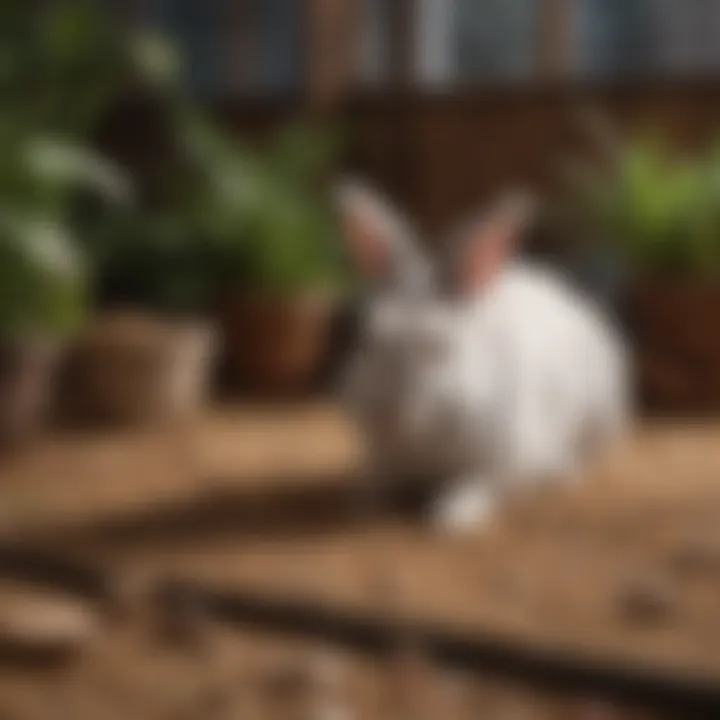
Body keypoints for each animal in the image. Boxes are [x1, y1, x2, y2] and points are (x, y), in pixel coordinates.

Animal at [338, 180, 632, 536]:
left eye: (438, 348)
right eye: (367, 336)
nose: (383, 412)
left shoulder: (508, 458)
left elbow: (480, 483)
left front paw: (451, 517)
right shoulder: (383, 455)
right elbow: (378, 476)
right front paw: (360, 501)